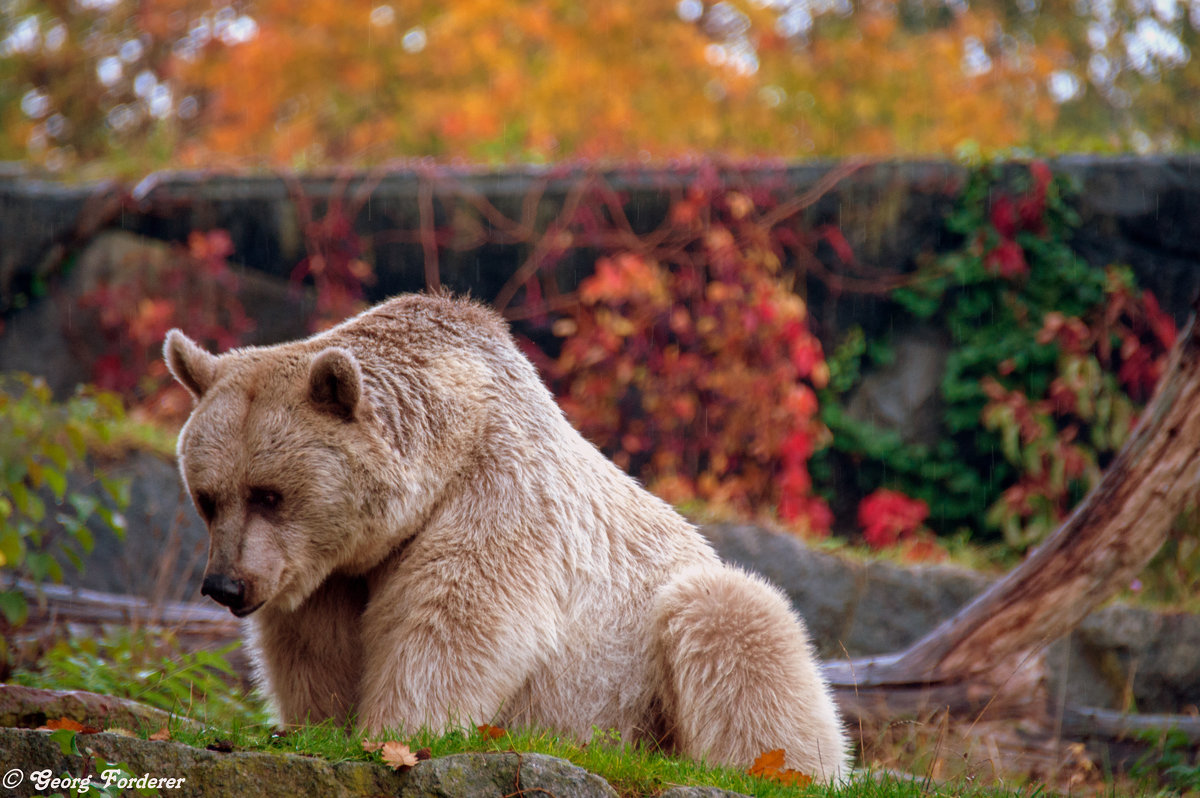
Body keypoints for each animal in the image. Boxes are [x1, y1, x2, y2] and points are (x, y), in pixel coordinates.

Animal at [164, 291, 849, 777]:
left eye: (268, 494)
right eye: (208, 497)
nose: (225, 585)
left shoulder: (499, 492)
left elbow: (457, 620)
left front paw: (393, 734)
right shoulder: (332, 570)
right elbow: (313, 648)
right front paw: (317, 727)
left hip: (654, 672)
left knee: (737, 627)